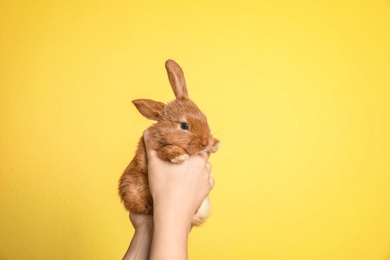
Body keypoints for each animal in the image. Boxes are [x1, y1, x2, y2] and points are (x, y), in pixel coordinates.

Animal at [117, 60, 221, 226]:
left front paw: (215, 144)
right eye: (184, 125)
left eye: (204, 117)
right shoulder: (154, 149)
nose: (205, 142)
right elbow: (168, 150)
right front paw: (179, 156)